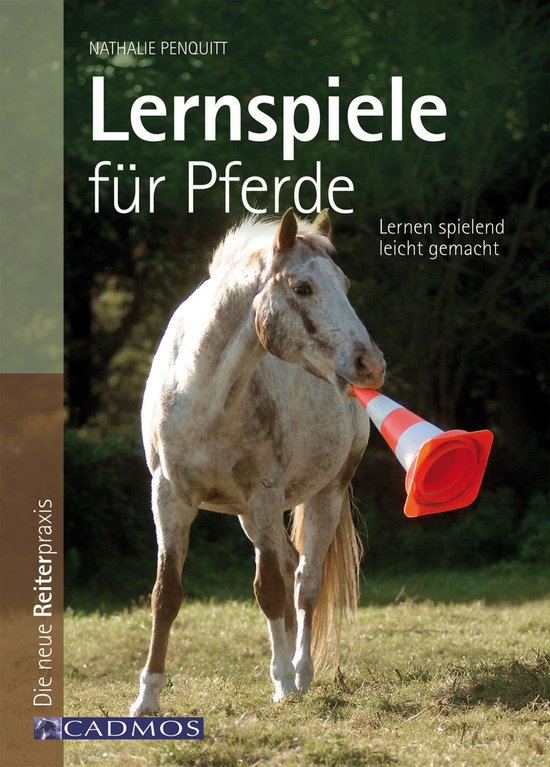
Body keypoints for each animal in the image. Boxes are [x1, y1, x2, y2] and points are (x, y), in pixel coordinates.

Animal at [130, 208, 385, 715]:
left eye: (344, 284)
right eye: (302, 287)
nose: (370, 364)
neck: (203, 391)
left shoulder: (265, 494)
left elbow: (267, 589)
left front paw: (284, 683)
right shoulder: (169, 496)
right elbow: (166, 594)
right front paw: (147, 698)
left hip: (324, 495)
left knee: (305, 581)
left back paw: (300, 673)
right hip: (249, 517)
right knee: (288, 565)